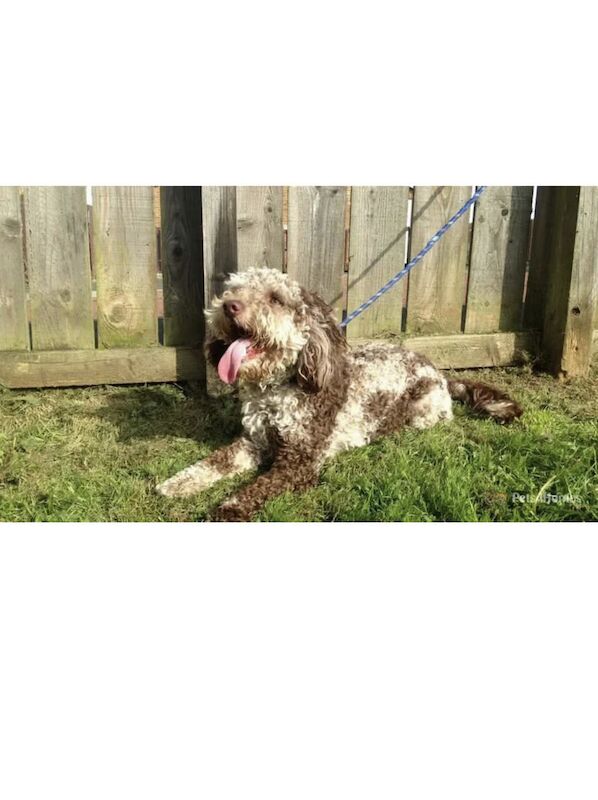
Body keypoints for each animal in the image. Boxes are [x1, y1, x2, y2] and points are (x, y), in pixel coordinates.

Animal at [156, 266, 524, 520]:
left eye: (275, 299)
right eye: (234, 289)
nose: (229, 306)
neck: (279, 387)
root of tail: (441, 374)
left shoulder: (300, 461)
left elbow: (258, 487)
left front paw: (229, 507)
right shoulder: (253, 441)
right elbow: (215, 462)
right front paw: (177, 483)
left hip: (423, 409)